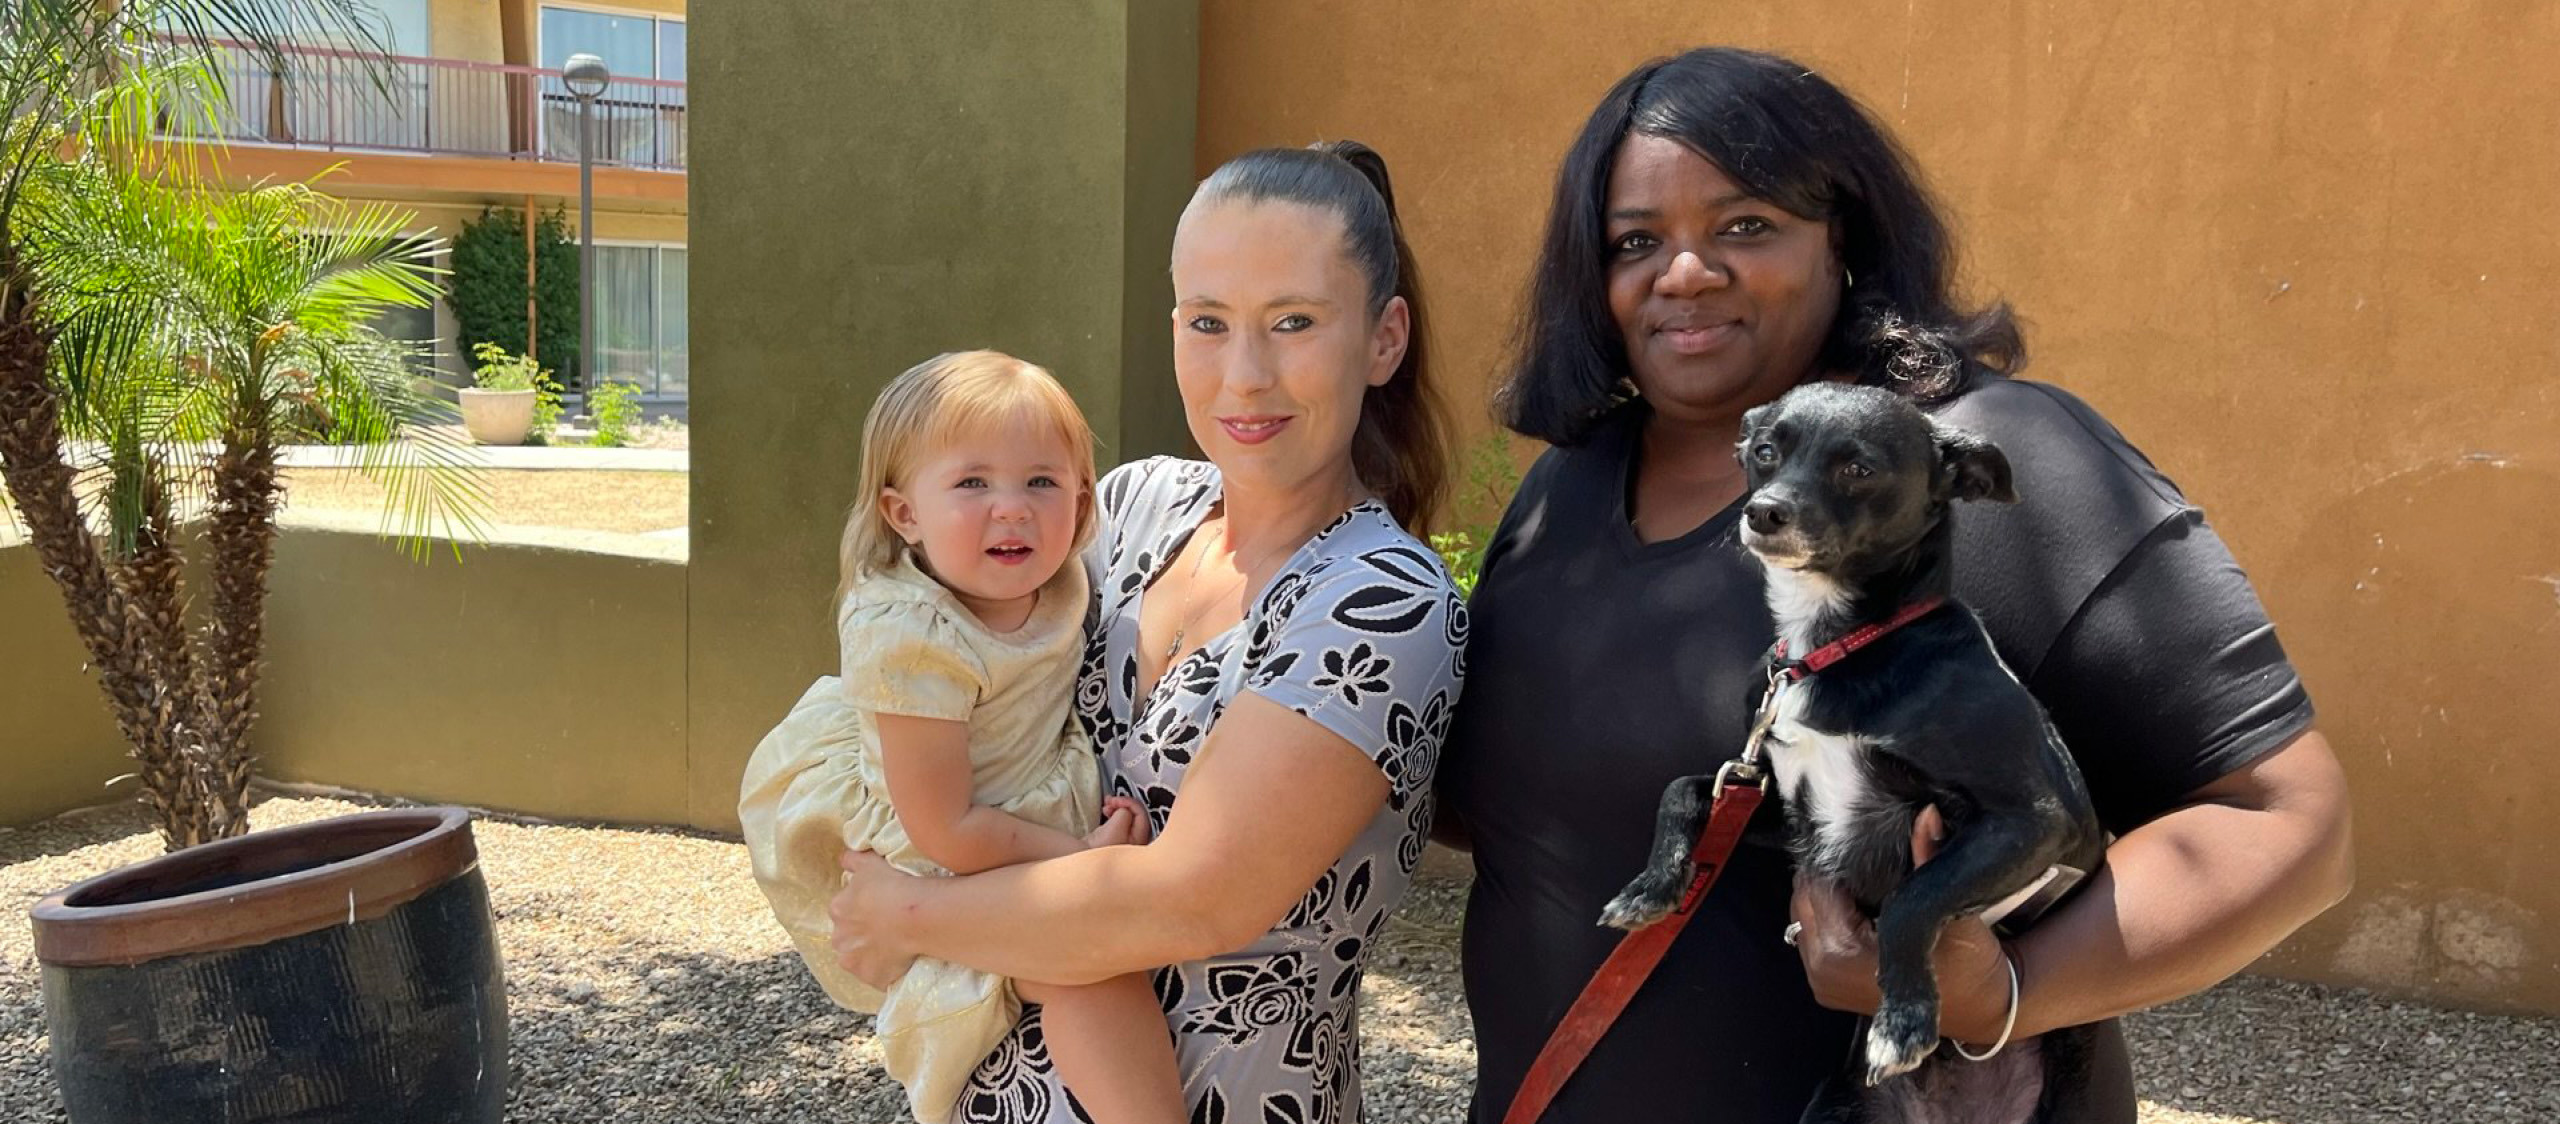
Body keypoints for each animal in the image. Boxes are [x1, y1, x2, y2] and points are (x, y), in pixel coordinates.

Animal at [1600, 383, 2106, 1123]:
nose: (1764, 511)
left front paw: (1905, 1019)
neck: (1837, 648)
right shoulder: (1786, 812)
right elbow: (1682, 790)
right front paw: (1650, 886)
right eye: (1765, 450)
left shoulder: (2037, 821)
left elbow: (1913, 897)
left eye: (1858, 469)